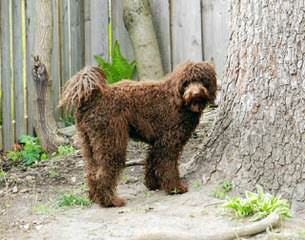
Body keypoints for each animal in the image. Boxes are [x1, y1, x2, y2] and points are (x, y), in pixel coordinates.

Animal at [58, 61, 216, 207]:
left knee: (91, 173)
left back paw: (95, 198)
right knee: (102, 174)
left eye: (203, 80)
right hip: (111, 142)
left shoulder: (158, 142)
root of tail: (93, 96)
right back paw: (110, 201)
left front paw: (153, 184)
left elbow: (152, 162)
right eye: (186, 82)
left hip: (88, 144)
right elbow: (168, 166)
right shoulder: (168, 143)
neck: (178, 99)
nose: (196, 93)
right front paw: (175, 188)